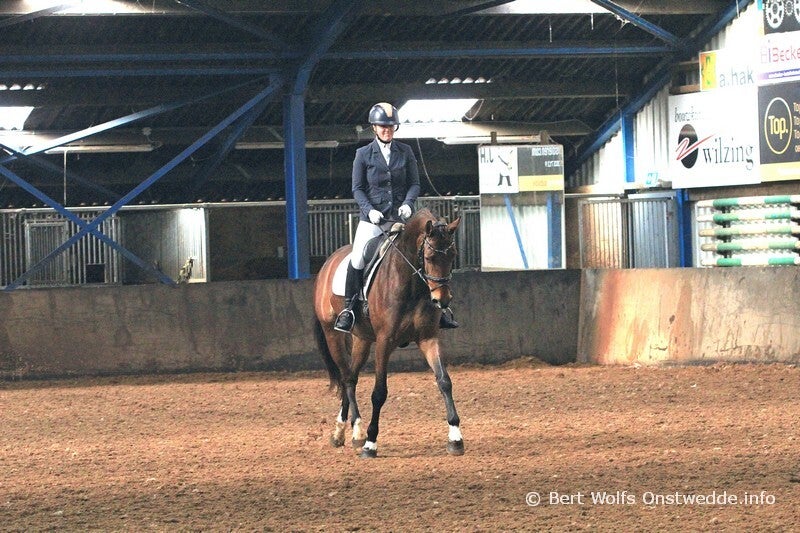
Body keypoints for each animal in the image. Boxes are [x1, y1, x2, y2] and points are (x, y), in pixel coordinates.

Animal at [313, 208, 463, 458]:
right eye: (429, 258)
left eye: (452, 256)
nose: (442, 301)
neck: (411, 284)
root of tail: (327, 263)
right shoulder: (385, 341)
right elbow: (379, 392)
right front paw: (371, 443)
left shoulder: (428, 338)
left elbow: (444, 381)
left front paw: (455, 437)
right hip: (332, 334)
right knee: (346, 377)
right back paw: (357, 432)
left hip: (361, 339)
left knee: (350, 377)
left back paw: (343, 432)